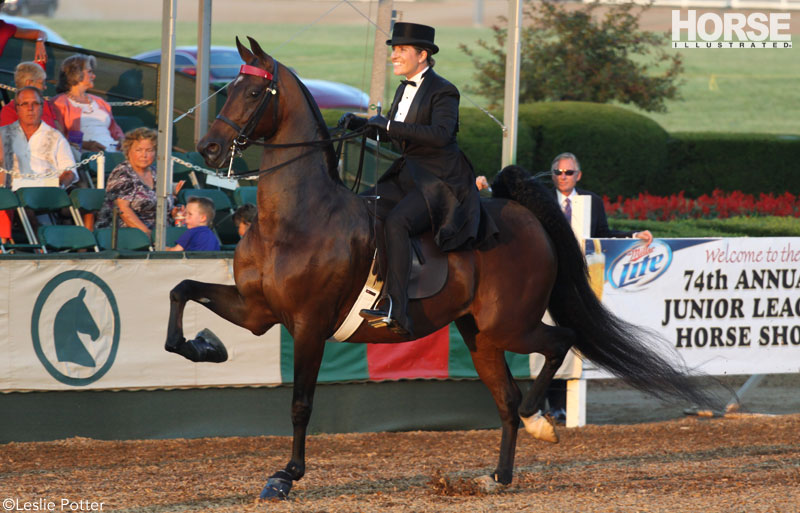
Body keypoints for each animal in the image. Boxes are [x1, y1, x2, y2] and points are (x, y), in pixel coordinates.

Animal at [166, 37, 716, 500]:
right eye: (228, 88)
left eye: (255, 90)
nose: (209, 148)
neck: (296, 217)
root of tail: (518, 213)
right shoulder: (259, 312)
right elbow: (181, 291)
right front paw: (205, 346)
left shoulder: (308, 325)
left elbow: (301, 404)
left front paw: (286, 476)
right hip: (480, 335)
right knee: (506, 398)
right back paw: (499, 476)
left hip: (509, 325)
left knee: (556, 348)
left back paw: (538, 420)